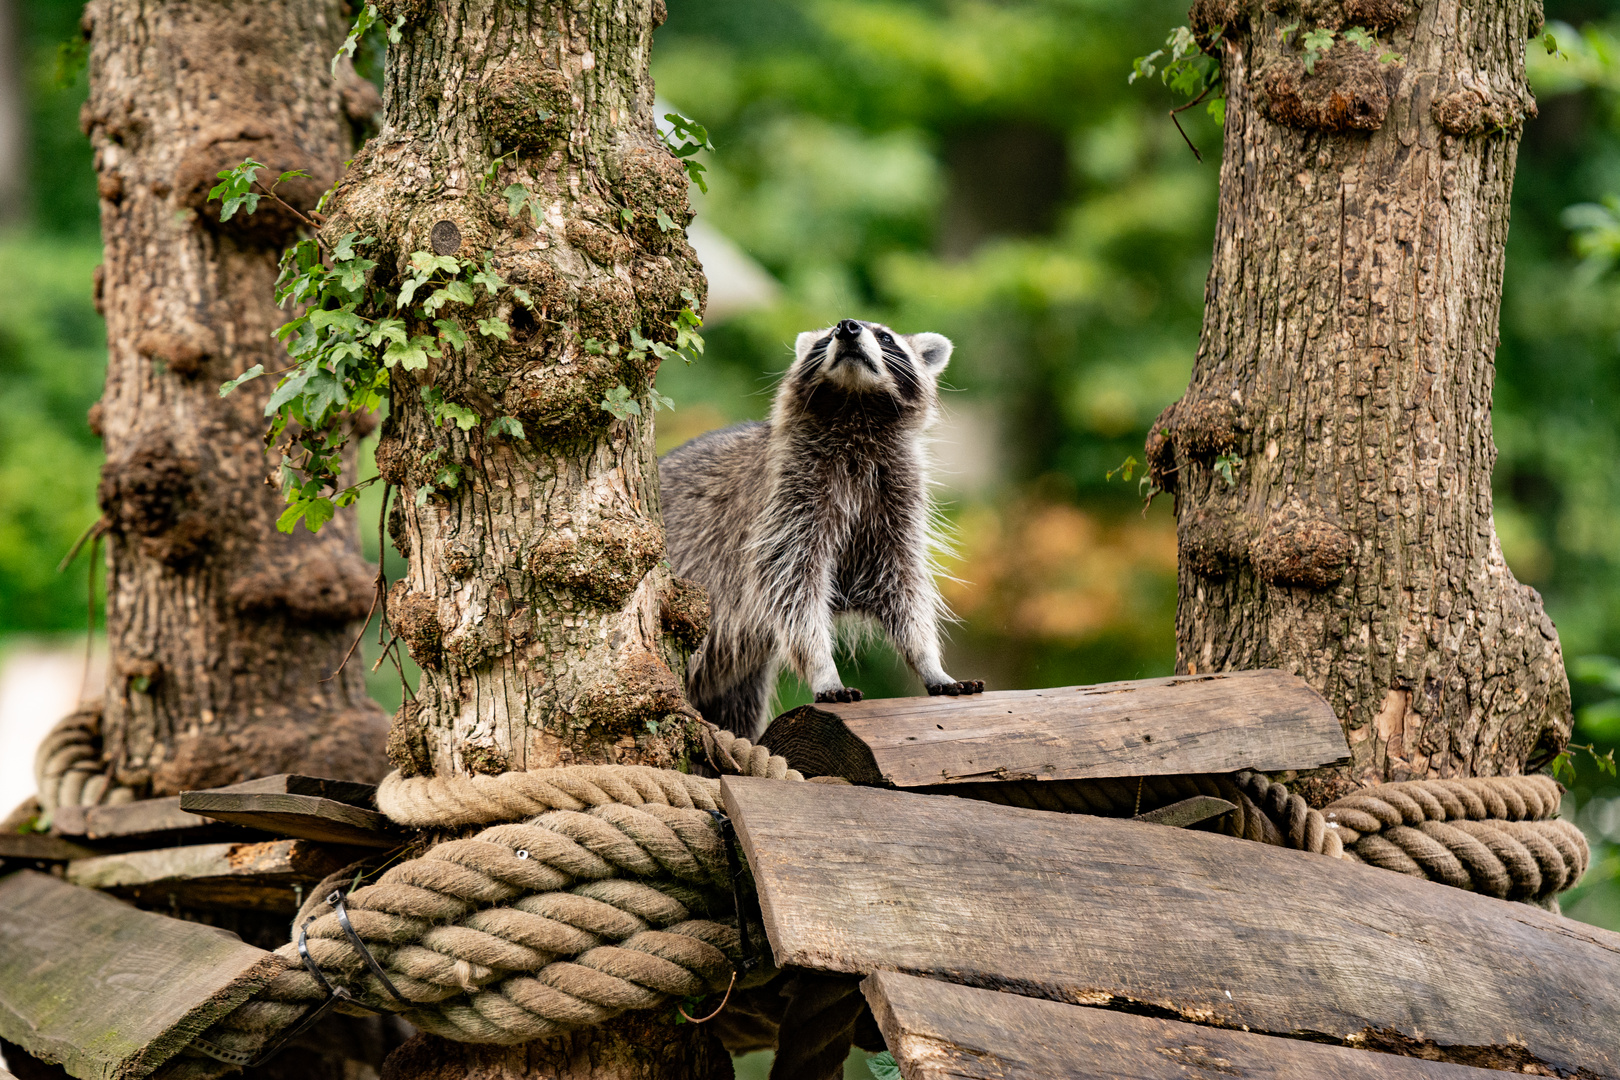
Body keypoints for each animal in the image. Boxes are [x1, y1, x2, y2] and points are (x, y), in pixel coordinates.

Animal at [657, 318, 984, 735]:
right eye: (827, 336)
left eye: (885, 337)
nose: (848, 327)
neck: (855, 407)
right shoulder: (786, 500)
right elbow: (793, 587)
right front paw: (823, 669)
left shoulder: (895, 501)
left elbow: (900, 586)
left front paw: (928, 660)